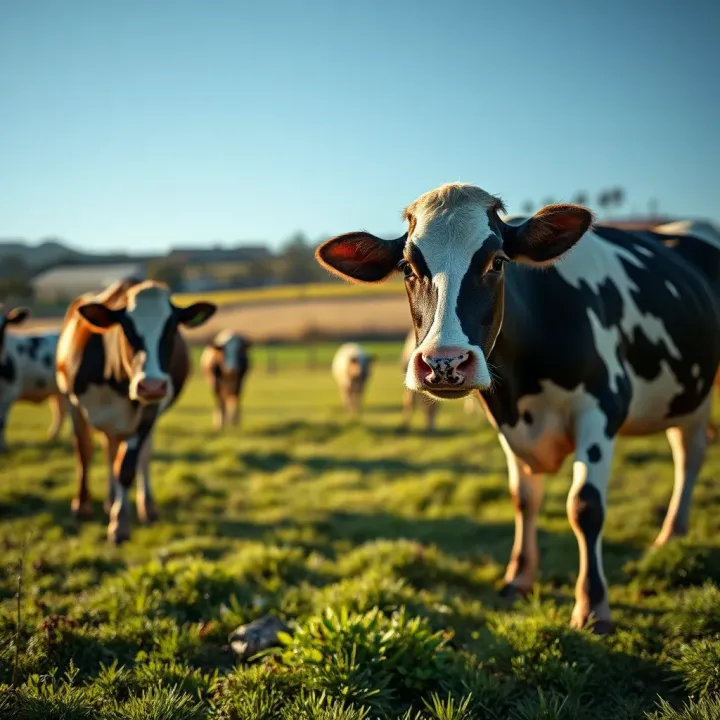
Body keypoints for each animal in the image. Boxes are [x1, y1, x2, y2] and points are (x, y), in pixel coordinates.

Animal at [0, 306, 68, 451]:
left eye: (5, 325)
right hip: (56, 391)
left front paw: (3, 447)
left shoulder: (10, 391)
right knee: (60, 411)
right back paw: (53, 437)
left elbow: (2, 421)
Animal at [55, 278, 216, 544]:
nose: (151, 385)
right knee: (106, 450)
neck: (116, 378)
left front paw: (119, 524)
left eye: (172, 328)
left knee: (137, 455)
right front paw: (81, 506)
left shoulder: (148, 413)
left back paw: (143, 507)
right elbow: (84, 452)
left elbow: (126, 467)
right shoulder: (73, 402)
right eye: (126, 328)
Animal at [315, 182, 720, 634]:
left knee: (689, 456)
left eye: (497, 262)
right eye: (406, 267)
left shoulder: (601, 408)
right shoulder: (508, 422)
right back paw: (674, 535)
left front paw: (592, 607)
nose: (444, 362)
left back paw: (669, 535)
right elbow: (523, 499)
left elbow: (585, 506)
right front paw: (519, 579)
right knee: (688, 450)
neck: (525, 384)